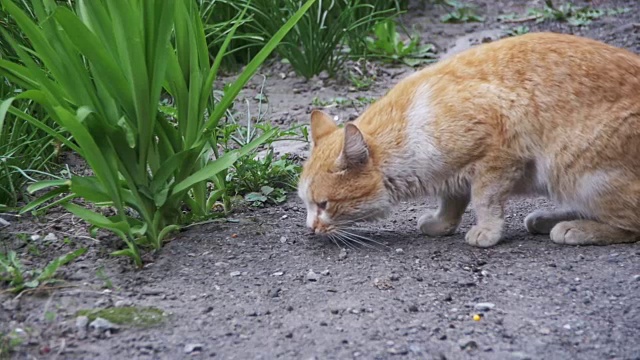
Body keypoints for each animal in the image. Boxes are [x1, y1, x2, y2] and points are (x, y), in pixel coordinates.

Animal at [298, 31, 640, 248]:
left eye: (324, 204)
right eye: (306, 204)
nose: (310, 228)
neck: (409, 130)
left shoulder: (500, 155)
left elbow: (484, 200)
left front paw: (487, 231)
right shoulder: (452, 173)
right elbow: (452, 201)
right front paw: (441, 224)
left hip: (575, 172)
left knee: (632, 222)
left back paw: (574, 229)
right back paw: (547, 219)